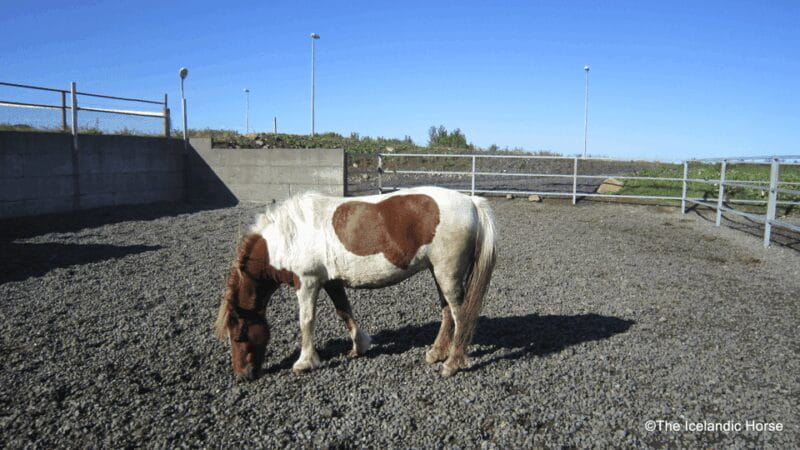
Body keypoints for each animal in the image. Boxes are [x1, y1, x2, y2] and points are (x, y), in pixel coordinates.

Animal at [214, 186, 496, 380]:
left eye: (239, 335)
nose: (243, 375)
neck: (290, 235)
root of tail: (471, 202)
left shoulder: (307, 282)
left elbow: (306, 321)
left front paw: (305, 362)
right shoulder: (332, 282)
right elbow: (344, 312)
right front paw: (359, 346)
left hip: (448, 274)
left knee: (460, 315)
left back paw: (452, 364)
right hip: (439, 273)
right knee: (447, 313)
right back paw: (436, 354)